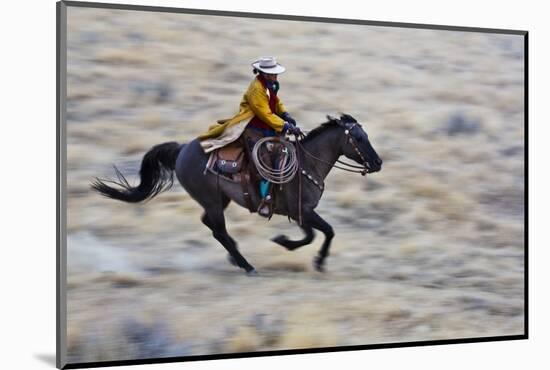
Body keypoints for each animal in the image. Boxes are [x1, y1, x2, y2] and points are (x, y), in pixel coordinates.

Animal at [91, 114, 384, 276]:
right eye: (359, 138)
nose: (378, 162)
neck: (308, 164)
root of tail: (182, 149)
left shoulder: (301, 213)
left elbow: (315, 234)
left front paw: (290, 245)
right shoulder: (302, 211)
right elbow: (324, 232)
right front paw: (314, 259)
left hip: (219, 200)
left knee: (210, 225)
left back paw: (235, 257)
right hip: (211, 200)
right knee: (218, 230)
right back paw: (247, 266)